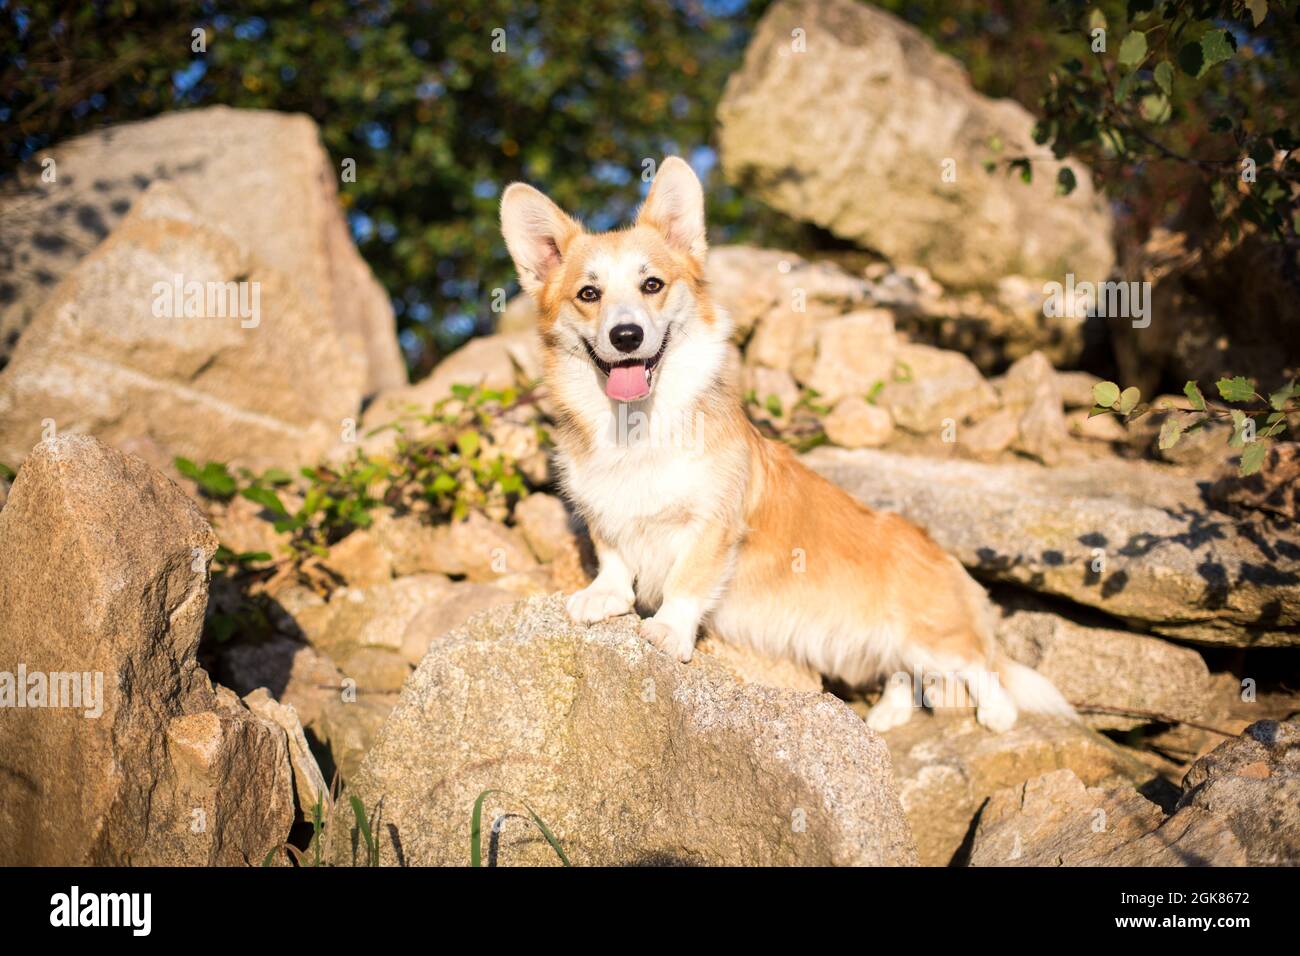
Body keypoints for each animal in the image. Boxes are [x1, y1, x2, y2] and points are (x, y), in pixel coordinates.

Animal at [493, 157, 1066, 733]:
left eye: (652, 284)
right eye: (589, 295)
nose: (627, 336)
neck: (635, 427)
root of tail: (945, 559)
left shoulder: (713, 525)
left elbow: (686, 581)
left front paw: (669, 631)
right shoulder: (603, 512)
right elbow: (613, 556)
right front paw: (603, 597)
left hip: (934, 638)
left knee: (981, 669)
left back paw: (995, 714)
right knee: (902, 672)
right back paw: (885, 715)